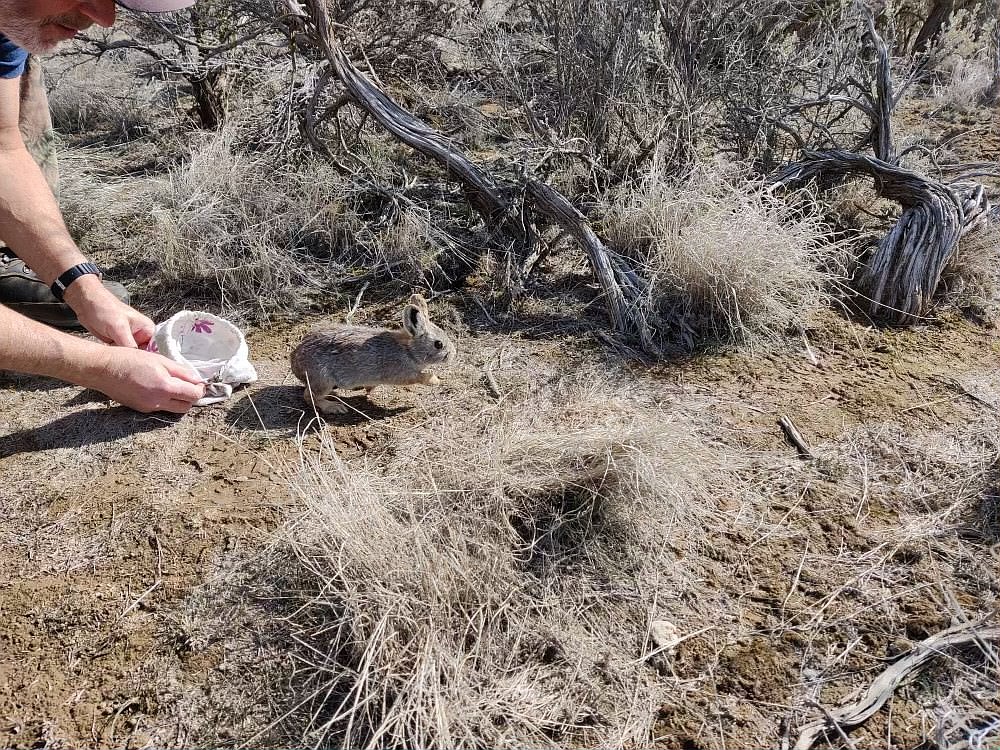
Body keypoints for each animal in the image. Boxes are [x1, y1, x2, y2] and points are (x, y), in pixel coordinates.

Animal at [291, 293, 456, 414]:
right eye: (438, 344)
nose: (453, 355)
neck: (409, 350)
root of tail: (295, 361)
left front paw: (368, 390)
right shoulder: (403, 373)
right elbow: (420, 377)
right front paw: (435, 381)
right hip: (323, 381)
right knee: (309, 396)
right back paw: (334, 407)